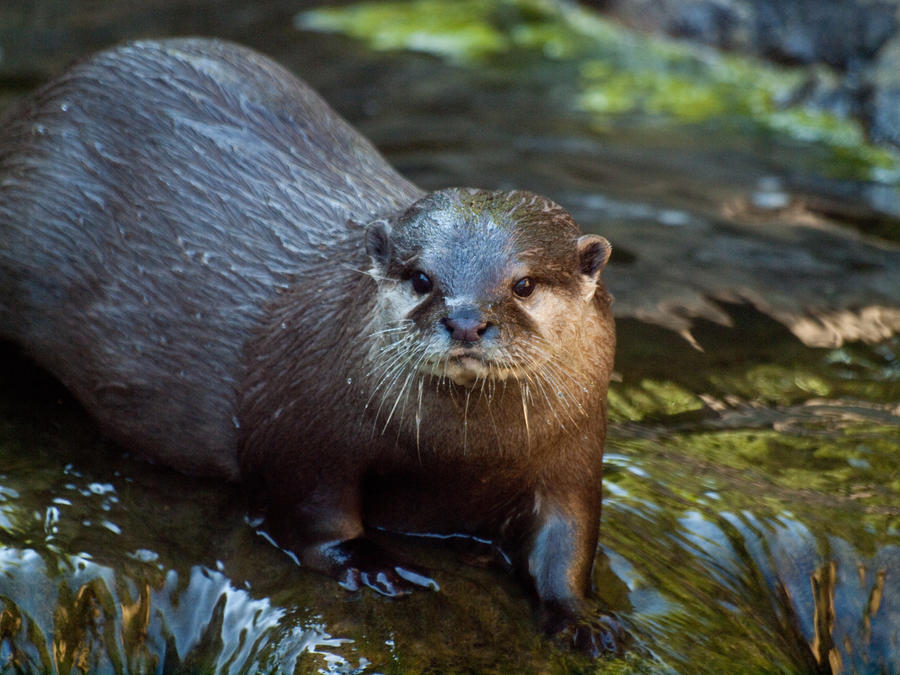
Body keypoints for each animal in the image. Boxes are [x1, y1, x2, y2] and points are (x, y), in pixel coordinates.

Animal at [0, 38, 620, 656]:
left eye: (524, 284)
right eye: (422, 279)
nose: (466, 321)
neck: (465, 457)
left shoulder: (575, 453)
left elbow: (567, 542)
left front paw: (581, 618)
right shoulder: (301, 428)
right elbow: (311, 516)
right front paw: (375, 564)